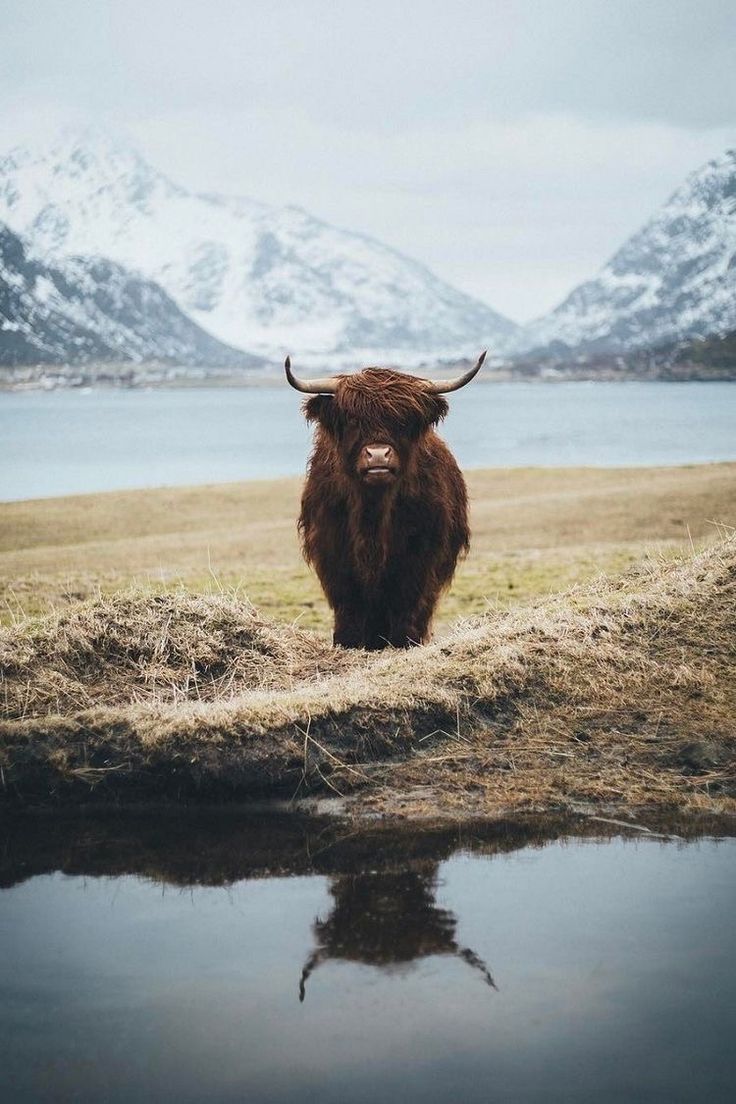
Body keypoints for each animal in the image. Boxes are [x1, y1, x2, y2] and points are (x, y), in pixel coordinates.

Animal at [284, 351, 485, 644]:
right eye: (352, 420)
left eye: (402, 422)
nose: (378, 455)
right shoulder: (333, 552)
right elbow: (349, 604)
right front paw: (347, 640)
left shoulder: (421, 556)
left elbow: (408, 602)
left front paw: (406, 640)